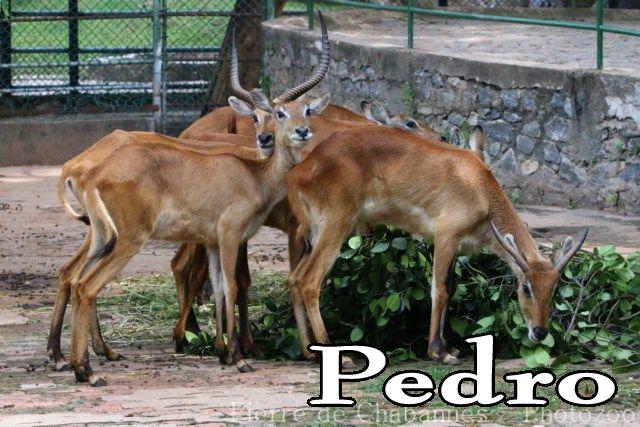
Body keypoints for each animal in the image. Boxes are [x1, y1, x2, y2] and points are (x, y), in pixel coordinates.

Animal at [284, 125, 587, 365]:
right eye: (526, 288)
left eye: (554, 288)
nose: (539, 332)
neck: (480, 188)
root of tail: (297, 173)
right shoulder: (445, 237)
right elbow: (439, 290)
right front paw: (439, 352)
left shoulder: (457, 247)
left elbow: (450, 289)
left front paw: (450, 347)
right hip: (334, 228)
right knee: (310, 281)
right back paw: (337, 355)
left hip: (315, 235)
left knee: (293, 278)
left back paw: (308, 352)